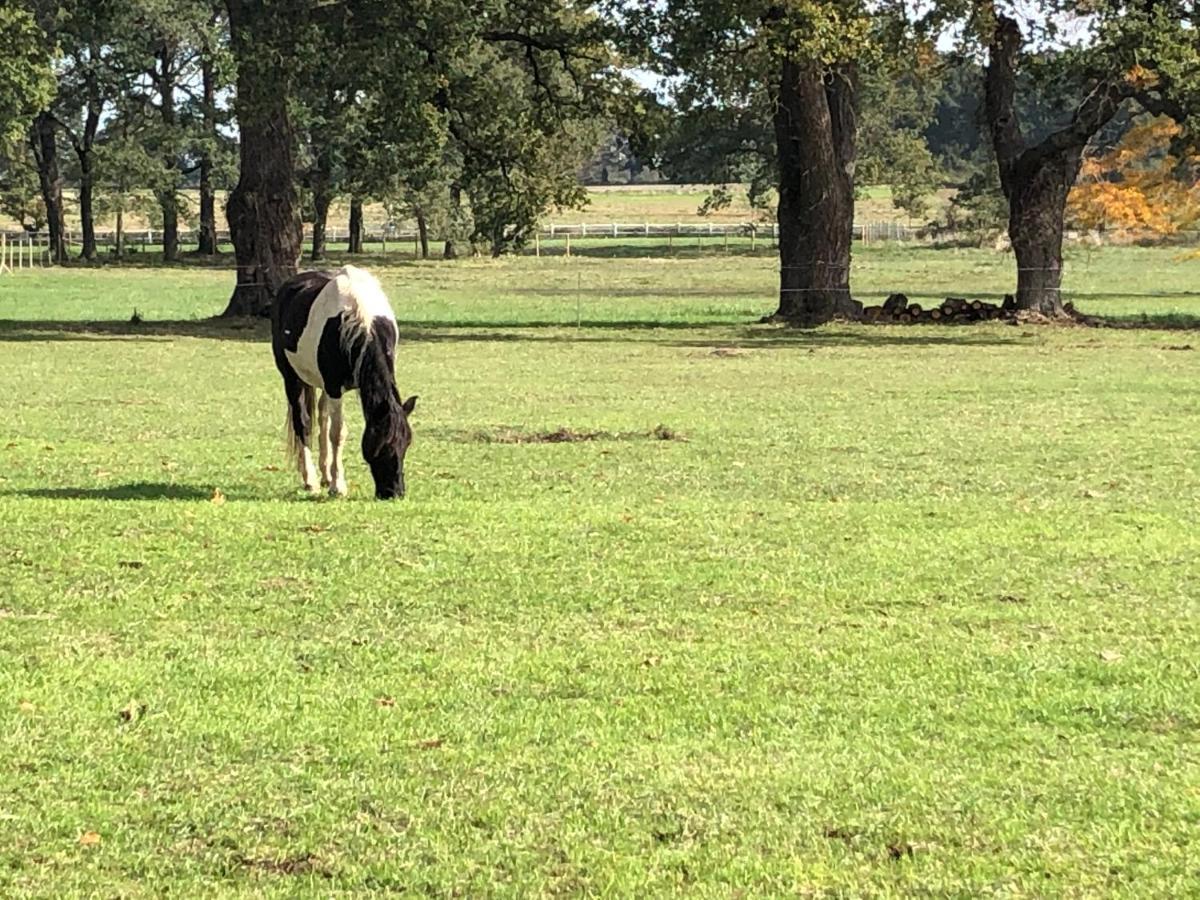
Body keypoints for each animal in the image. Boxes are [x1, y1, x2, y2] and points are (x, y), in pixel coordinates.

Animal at [272, 264, 417, 501]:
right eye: (380, 446)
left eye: (406, 444)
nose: (394, 492)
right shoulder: (333, 386)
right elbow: (338, 433)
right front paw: (338, 486)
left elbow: (331, 427)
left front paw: (332, 479)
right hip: (292, 378)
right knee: (302, 421)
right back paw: (310, 480)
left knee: (322, 416)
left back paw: (324, 475)